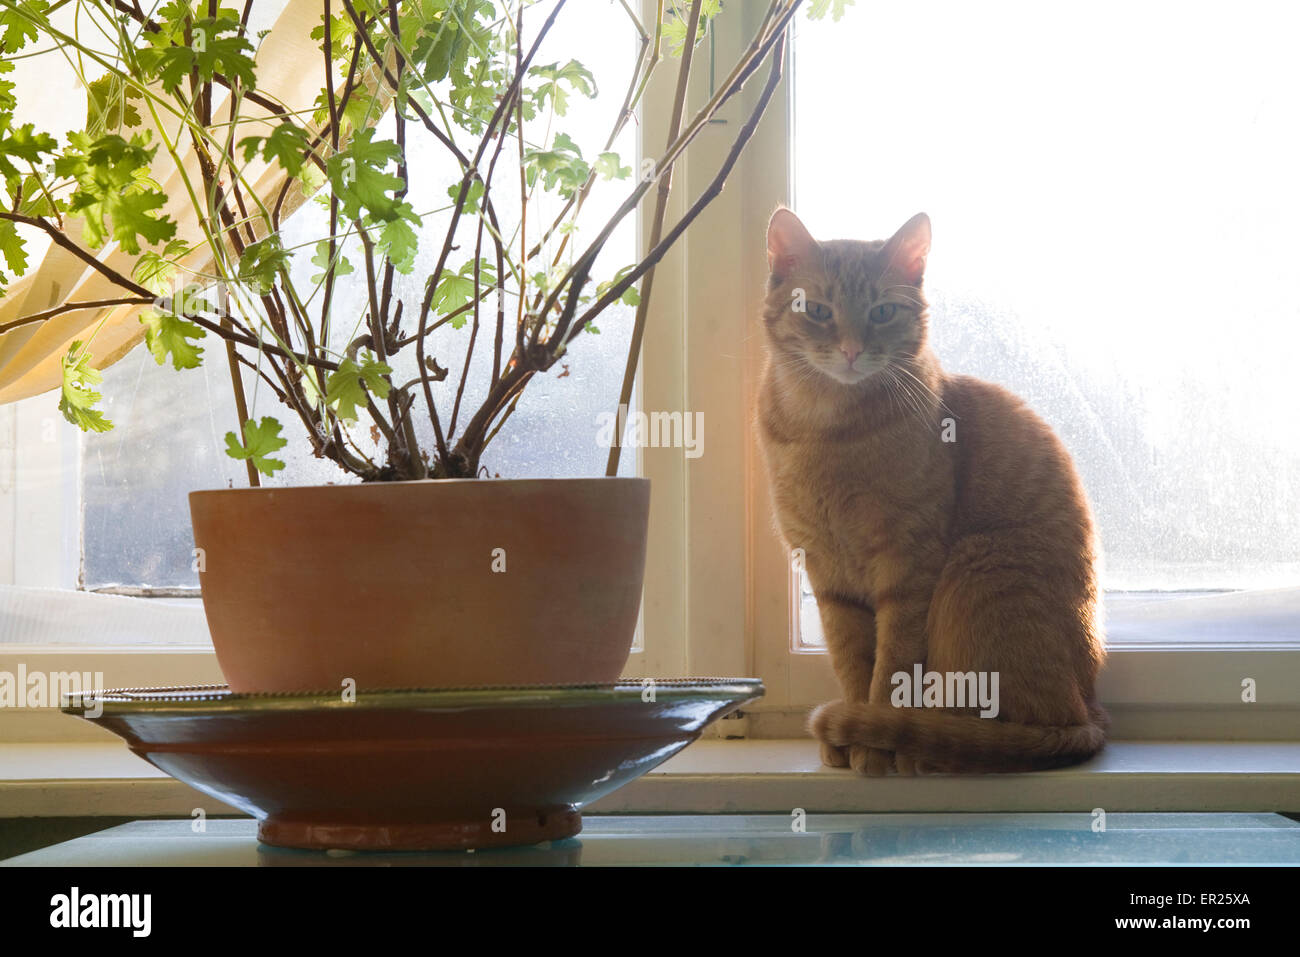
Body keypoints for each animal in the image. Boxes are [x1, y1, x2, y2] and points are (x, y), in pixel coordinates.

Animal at [759, 205, 1107, 774]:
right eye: (817, 310)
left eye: (882, 312)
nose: (852, 350)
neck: (827, 430)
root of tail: (1091, 713)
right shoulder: (827, 574)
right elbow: (852, 661)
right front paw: (853, 734)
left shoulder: (909, 565)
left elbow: (891, 670)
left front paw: (872, 740)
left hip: (974, 572)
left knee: (1015, 727)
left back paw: (921, 747)